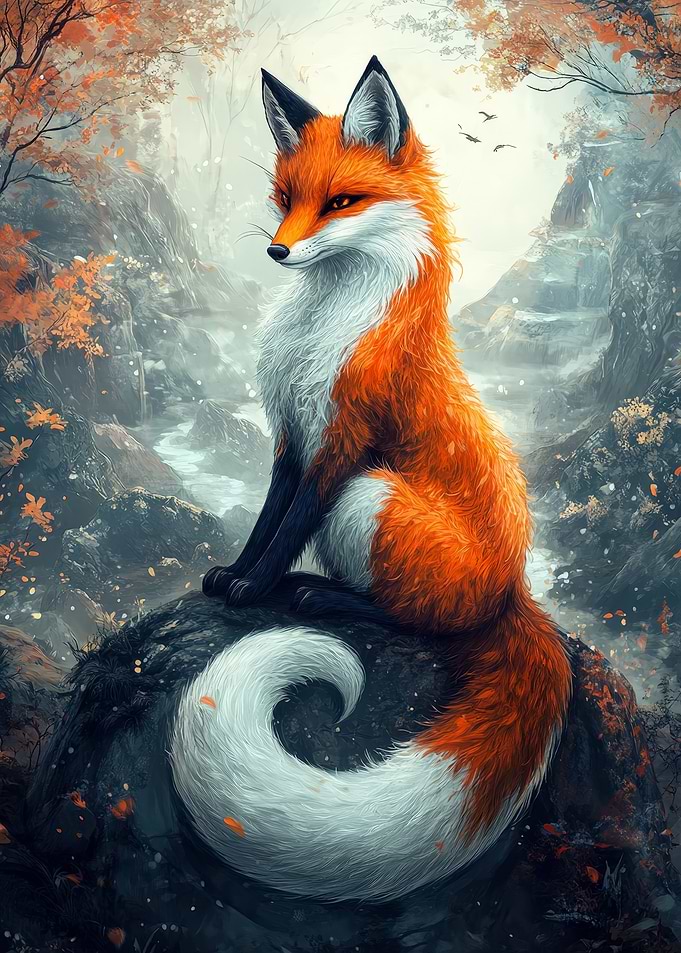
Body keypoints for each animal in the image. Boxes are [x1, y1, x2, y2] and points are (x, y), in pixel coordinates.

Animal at [170, 56, 573, 903]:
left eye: (341, 203)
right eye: (285, 200)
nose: (277, 253)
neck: (322, 328)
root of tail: (514, 587)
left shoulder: (341, 441)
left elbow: (290, 527)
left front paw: (257, 587)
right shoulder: (291, 434)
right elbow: (267, 517)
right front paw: (234, 574)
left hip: (372, 497)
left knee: (421, 623)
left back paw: (319, 596)